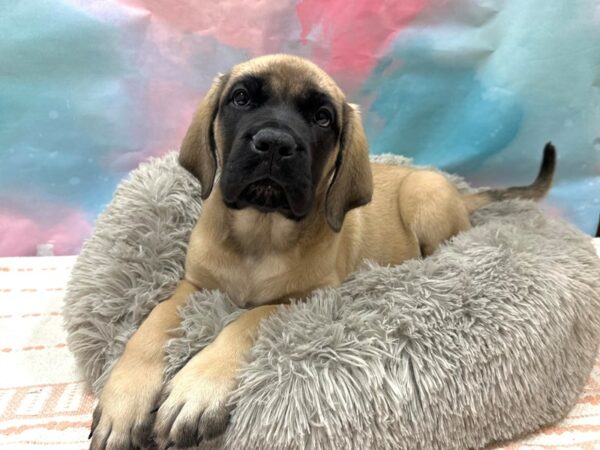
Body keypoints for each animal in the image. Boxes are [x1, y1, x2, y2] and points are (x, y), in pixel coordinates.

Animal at [90, 54, 556, 448]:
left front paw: (197, 387)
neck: (260, 232)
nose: (274, 143)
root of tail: (462, 194)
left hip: (426, 195)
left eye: (322, 117)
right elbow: (152, 324)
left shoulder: (305, 298)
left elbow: (247, 321)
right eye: (240, 98)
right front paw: (123, 402)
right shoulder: (195, 286)